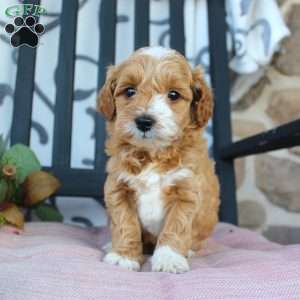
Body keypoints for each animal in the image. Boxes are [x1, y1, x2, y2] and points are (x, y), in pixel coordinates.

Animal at [97, 45, 219, 274]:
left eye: (173, 94)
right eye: (129, 91)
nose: (144, 121)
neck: (152, 155)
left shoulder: (186, 191)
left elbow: (176, 227)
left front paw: (169, 259)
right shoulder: (118, 188)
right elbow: (125, 224)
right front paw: (124, 256)